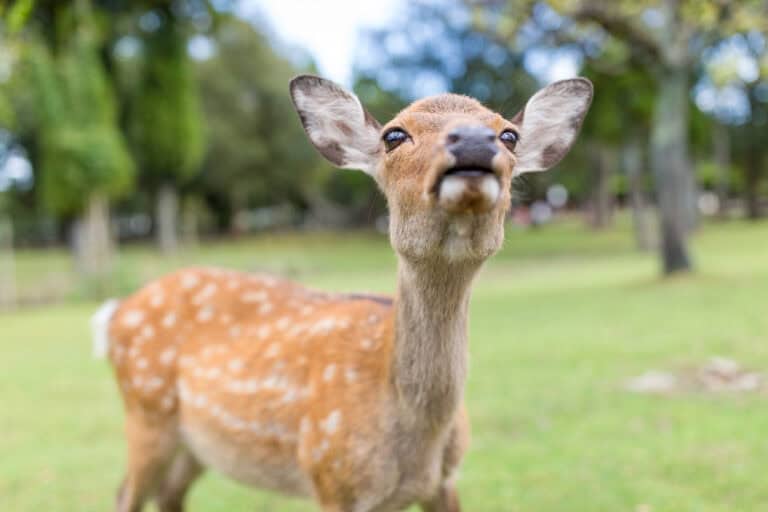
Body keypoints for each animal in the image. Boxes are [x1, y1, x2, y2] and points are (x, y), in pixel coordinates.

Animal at [94, 73, 592, 512]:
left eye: (509, 135)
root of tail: (115, 313)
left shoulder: (446, 480)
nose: (473, 140)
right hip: (146, 413)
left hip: (196, 444)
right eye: (394, 135)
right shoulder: (331, 476)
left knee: (169, 494)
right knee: (124, 494)